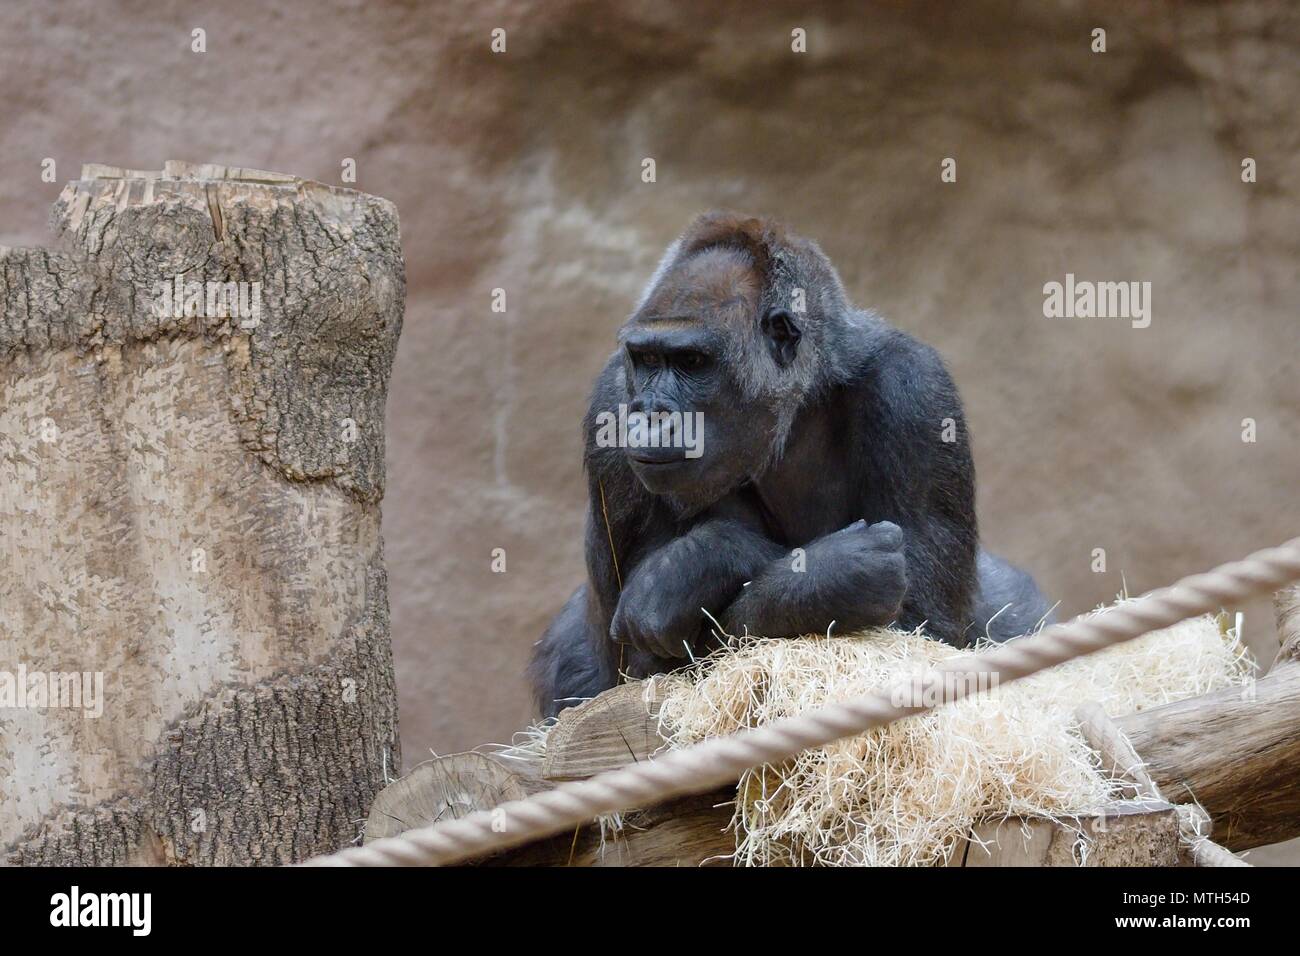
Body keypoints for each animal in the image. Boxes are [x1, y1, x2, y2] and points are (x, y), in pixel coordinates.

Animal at [533, 210, 1050, 717]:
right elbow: (643, 670)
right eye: (645, 359)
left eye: (692, 362)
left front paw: (698, 566)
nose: (649, 412)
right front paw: (788, 565)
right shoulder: (611, 402)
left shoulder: (916, 389)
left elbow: (925, 628)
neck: (797, 405)